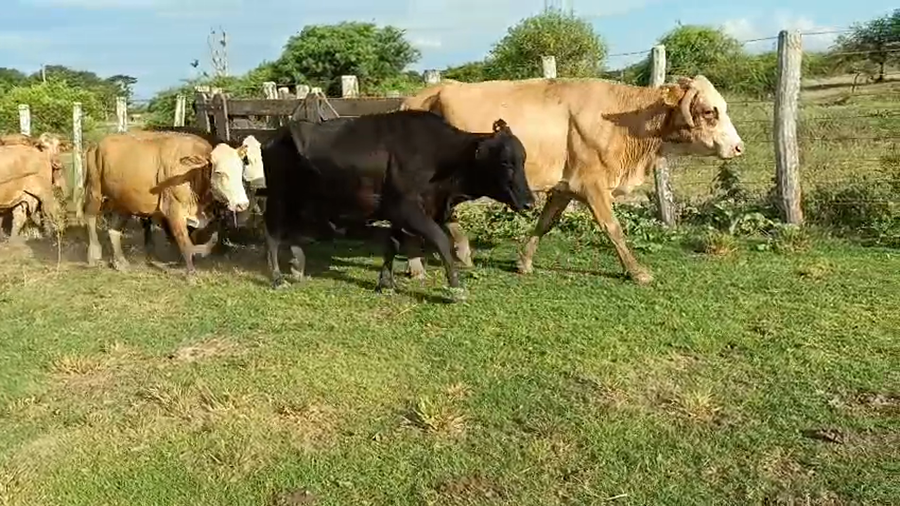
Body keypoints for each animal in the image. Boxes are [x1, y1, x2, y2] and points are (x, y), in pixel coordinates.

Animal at [82, 131, 251, 276]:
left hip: (124, 202)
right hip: (94, 191)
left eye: (240, 170)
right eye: (219, 172)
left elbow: (188, 240)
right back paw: (93, 255)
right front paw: (191, 274)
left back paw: (120, 262)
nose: (242, 204)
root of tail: (96, 144)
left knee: (113, 230)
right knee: (90, 218)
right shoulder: (173, 210)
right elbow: (184, 241)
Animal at [261, 109, 534, 300]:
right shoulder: (409, 209)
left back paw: (297, 268)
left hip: (300, 200)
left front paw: (385, 283)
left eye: (522, 160)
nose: (530, 202)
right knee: (272, 234)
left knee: (293, 232)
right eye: (505, 162)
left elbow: (392, 245)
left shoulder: (397, 212)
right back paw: (277, 277)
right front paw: (456, 288)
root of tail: (275, 135)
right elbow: (441, 240)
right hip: (278, 198)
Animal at [400, 75, 745, 284]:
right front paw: (636, 272)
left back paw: (461, 251)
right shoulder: (592, 185)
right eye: (709, 111)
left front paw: (524, 262)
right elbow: (613, 228)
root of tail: (418, 97)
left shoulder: (565, 186)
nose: (739, 147)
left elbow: (545, 223)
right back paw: (419, 266)